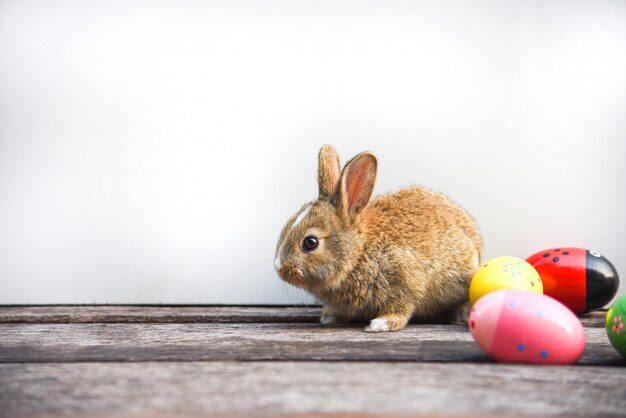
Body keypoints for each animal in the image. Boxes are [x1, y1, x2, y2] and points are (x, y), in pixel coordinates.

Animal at [272, 145, 482, 332]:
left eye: (310, 243)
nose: (278, 267)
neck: (358, 252)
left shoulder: (404, 281)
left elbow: (402, 306)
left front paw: (381, 324)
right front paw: (329, 316)